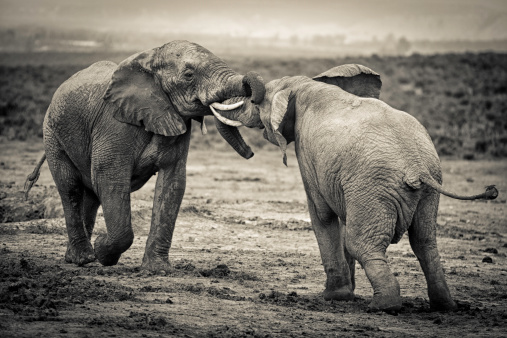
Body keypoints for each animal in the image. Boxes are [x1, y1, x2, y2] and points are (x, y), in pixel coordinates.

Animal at [24, 40, 266, 272]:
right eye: (189, 75)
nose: (251, 153)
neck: (150, 59)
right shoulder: (114, 124)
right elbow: (110, 179)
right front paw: (103, 251)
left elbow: (173, 183)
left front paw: (158, 270)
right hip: (52, 134)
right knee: (71, 188)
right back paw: (84, 257)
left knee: (90, 194)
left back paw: (79, 257)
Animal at [213, 64, 500, 312]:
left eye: (254, 103)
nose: (250, 153)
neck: (303, 84)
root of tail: (415, 166)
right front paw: (346, 295)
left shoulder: (307, 153)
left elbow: (322, 215)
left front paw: (334, 297)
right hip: (427, 186)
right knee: (425, 241)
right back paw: (445, 306)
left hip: (373, 185)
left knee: (361, 243)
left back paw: (384, 306)